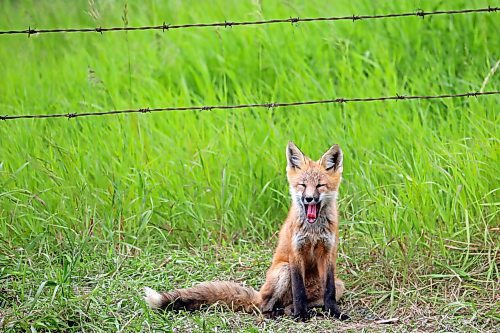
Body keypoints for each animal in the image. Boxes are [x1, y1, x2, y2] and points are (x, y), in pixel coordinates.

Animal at [145, 141, 348, 320]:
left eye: (320, 185)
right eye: (303, 185)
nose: (309, 199)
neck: (313, 230)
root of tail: (259, 294)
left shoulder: (328, 253)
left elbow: (329, 291)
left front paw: (334, 313)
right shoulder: (295, 253)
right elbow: (299, 291)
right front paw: (301, 315)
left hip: (340, 285)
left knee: (289, 304)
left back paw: (295, 311)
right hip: (283, 270)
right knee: (265, 306)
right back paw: (276, 314)